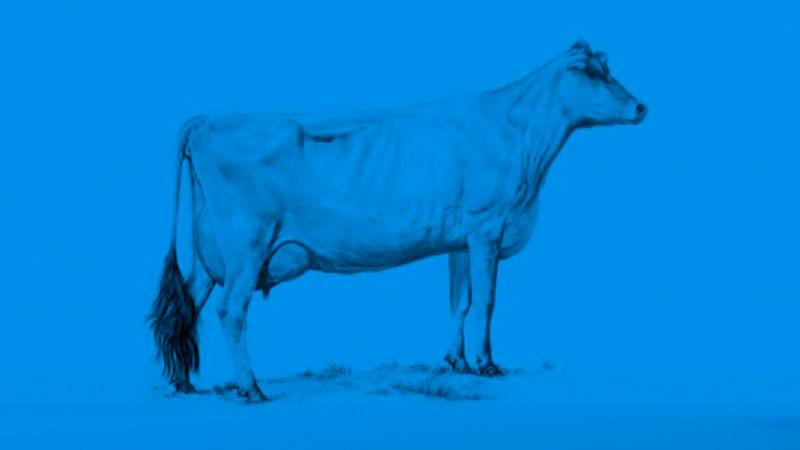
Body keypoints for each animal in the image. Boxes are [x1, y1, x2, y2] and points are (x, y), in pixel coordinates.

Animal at [149, 40, 647, 402]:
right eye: (595, 74)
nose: (641, 108)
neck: (521, 138)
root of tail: (205, 121)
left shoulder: (459, 240)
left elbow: (459, 302)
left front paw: (457, 362)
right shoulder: (487, 227)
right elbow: (486, 301)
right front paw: (488, 365)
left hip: (208, 251)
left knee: (188, 304)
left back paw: (185, 384)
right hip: (245, 246)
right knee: (230, 310)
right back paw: (251, 388)